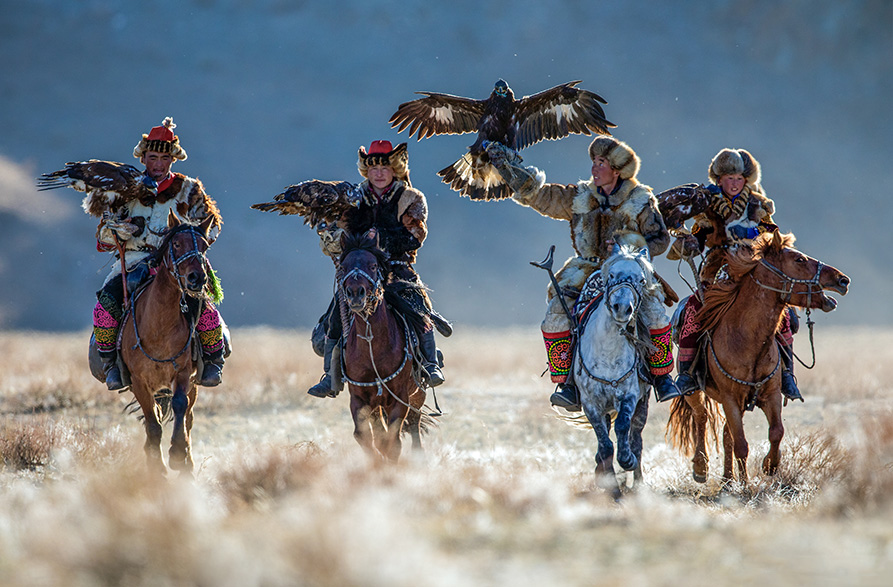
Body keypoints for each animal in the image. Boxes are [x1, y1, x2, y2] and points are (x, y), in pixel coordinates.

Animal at [118, 214, 216, 476]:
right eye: (177, 244)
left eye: (205, 247)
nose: (197, 278)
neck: (158, 328)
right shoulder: (138, 382)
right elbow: (153, 423)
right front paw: (156, 466)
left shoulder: (183, 372)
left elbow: (180, 405)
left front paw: (178, 454)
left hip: (194, 383)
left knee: (189, 417)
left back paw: (188, 464)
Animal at [338, 230, 428, 464]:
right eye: (344, 266)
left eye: (372, 265)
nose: (355, 293)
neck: (373, 346)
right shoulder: (359, 398)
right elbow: (365, 436)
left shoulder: (399, 397)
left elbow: (392, 442)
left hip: (417, 394)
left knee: (414, 424)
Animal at [572, 243, 656, 496]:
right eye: (611, 276)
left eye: (641, 280)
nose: (622, 308)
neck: (607, 351)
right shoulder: (591, 403)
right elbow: (605, 443)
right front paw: (611, 488)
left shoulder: (629, 396)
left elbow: (622, 429)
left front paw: (626, 460)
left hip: (643, 403)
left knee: (636, 438)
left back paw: (637, 483)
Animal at [668, 232, 852, 484]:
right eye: (799, 260)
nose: (842, 280)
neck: (747, 339)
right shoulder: (730, 398)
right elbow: (741, 444)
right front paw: (745, 484)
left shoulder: (770, 395)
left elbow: (775, 432)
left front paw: (770, 466)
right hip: (697, 392)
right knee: (701, 416)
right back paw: (701, 467)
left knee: (725, 433)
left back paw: (727, 479)